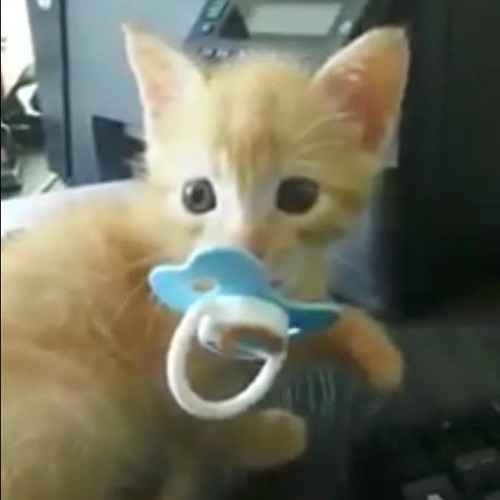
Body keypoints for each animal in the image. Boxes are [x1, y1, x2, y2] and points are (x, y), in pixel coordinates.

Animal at [1, 25, 409, 500]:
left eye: (299, 196)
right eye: (197, 196)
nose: (243, 248)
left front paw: (372, 347)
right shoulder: (163, 371)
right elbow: (200, 431)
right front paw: (265, 438)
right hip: (65, 411)